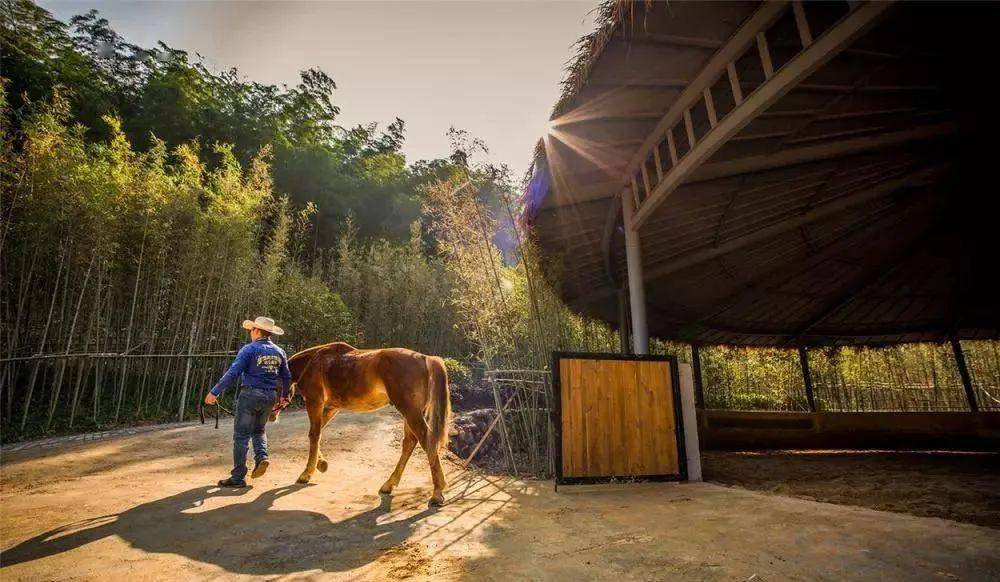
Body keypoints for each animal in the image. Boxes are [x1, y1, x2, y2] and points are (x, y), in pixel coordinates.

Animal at [276, 342, 452, 506]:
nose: (271, 415)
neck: (312, 362)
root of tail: (425, 358)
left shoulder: (315, 403)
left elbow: (314, 435)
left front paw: (307, 473)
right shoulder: (331, 408)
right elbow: (316, 433)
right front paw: (321, 463)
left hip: (410, 411)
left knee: (426, 441)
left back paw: (437, 492)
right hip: (411, 413)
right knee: (409, 442)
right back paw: (389, 484)